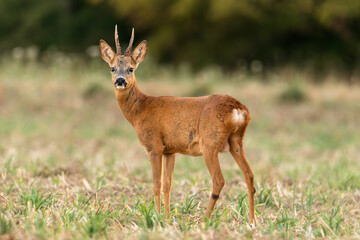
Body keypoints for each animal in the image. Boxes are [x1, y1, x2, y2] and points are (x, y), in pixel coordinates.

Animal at [98, 26, 256, 225]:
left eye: (130, 68)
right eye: (112, 68)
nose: (120, 80)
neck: (140, 109)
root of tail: (238, 108)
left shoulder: (154, 146)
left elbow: (156, 184)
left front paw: (156, 217)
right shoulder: (170, 150)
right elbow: (168, 184)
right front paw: (166, 217)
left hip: (210, 143)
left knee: (219, 180)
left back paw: (205, 220)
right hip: (237, 141)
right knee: (249, 175)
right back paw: (252, 220)